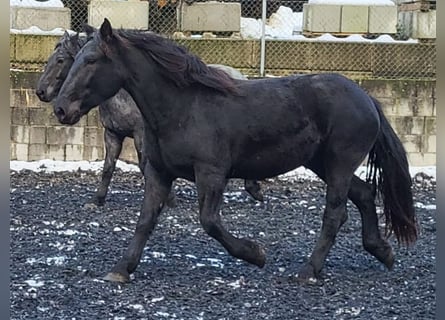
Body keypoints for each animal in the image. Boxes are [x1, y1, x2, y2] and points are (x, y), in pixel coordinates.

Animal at [35, 29, 264, 205]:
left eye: (60, 60)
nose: (40, 92)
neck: (123, 96)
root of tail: (240, 77)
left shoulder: (140, 135)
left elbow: (144, 166)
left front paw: (169, 199)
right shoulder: (113, 134)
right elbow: (108, 167)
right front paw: (97, 199)